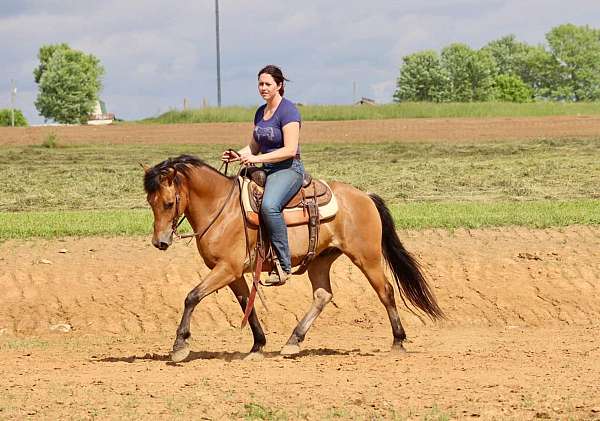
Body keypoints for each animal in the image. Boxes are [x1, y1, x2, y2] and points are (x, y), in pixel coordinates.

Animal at [143, 154, 442, 360]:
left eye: (168, 203)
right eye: (150, 202)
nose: (160, 242)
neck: (222, 209)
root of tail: (365, 196)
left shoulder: (227, 269)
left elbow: (192, 296)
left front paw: (180, 345)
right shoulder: (233, 273)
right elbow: (246, 305)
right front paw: (258, 345)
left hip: (366, 257)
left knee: (386, 291)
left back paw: (398, 341)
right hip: (321, 260)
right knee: (323, 295)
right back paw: (293, 341)